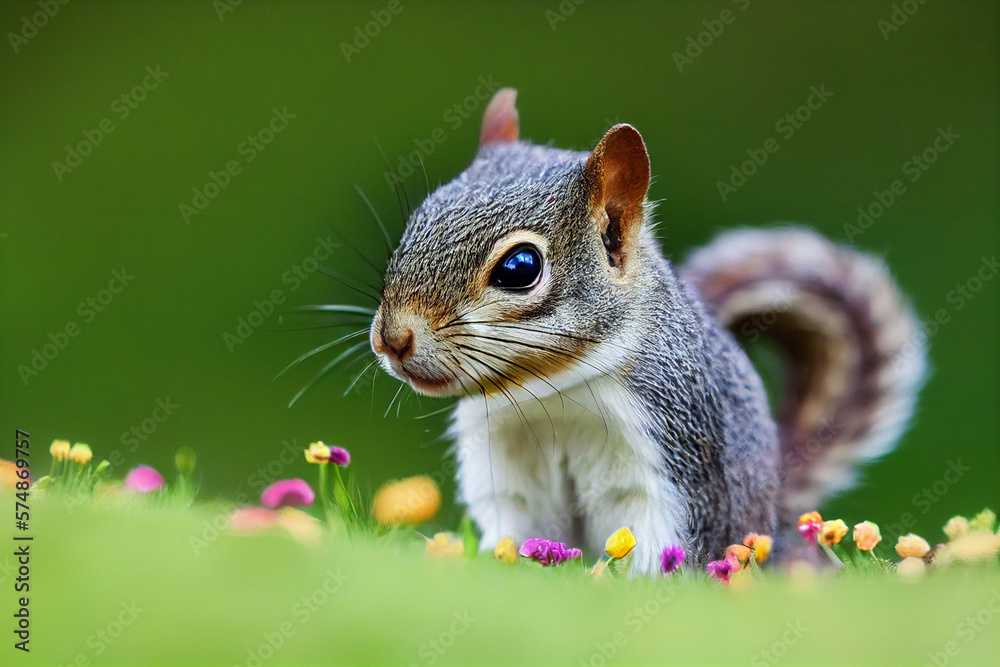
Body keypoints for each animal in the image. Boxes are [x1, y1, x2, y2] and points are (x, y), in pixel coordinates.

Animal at [369, 88, 927, 574]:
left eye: (520, 267)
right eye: (416, 222)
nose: (392, 340)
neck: (549, 392)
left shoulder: (675, 454)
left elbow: (662, 545)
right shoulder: (505, 471)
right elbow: (514, 532)